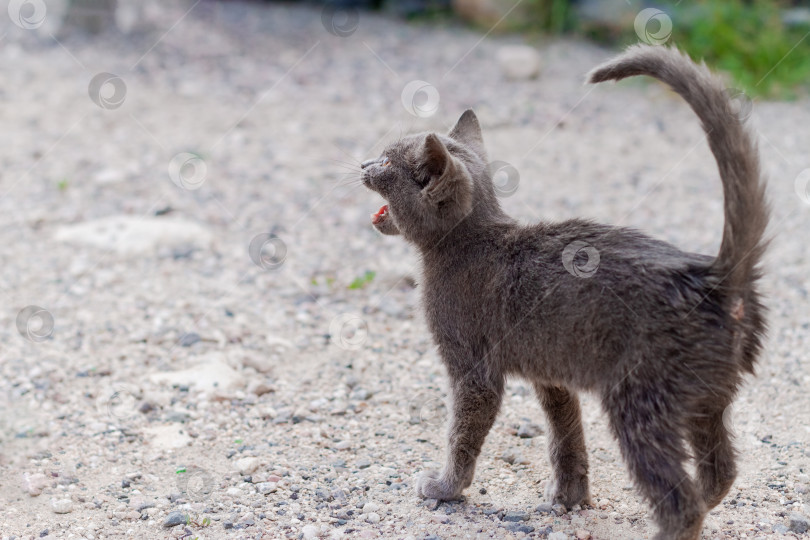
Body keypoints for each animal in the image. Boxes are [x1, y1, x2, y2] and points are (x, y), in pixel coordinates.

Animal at [358, 46, 764, 540]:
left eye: (386, 163)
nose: (363, 164)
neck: (468, 241)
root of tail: (712, 275)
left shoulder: (474, 371)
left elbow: (462, 434)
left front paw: (445, 487)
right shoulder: (552, 374)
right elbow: (566, 433)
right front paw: (570, 498)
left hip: (638, 398)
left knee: (681, 500)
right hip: (705, 398)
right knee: (721, 470)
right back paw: (707, 497)